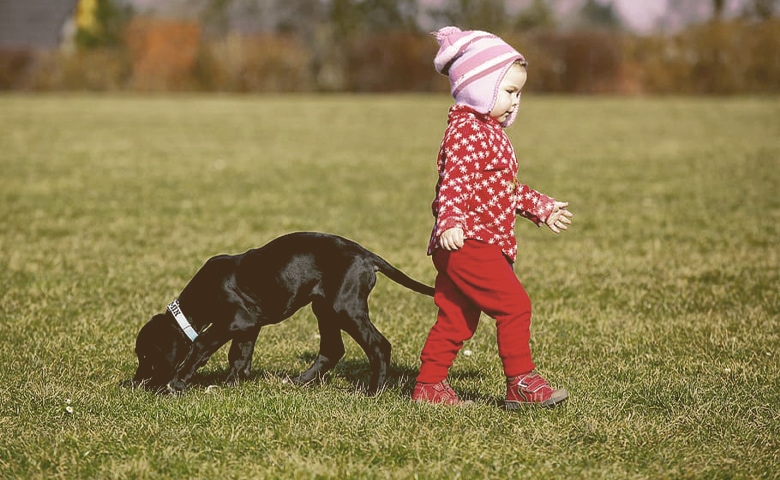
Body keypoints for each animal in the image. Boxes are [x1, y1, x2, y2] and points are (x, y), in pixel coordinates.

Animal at [133, 232, 432, 394]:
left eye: (147, 355)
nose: (135, 383)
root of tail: (365, 254)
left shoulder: (237, 319)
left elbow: (202, 344)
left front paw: (178, 383)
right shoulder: (248, 325)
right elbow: (239, 356)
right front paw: (231, 384)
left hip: (344, 307)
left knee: (379, 345)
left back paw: (373, 391)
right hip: (323, 306)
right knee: (332, 349)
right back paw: (299, 381)